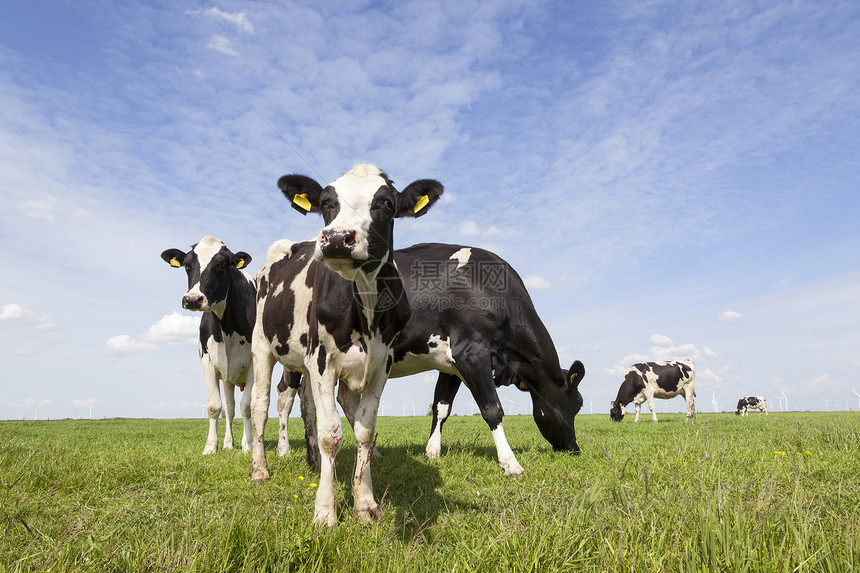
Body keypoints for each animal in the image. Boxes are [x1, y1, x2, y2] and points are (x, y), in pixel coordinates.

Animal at [160, 235, 255, 454]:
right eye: (187, 265)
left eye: (221, 265)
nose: (193, 299)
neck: (227, 327)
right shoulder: (208, 361)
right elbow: (215, 407)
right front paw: (211, 446)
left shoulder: (255, 362)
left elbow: (247, 407)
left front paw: (248, 445)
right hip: (228, 376)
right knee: (229, 408)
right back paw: (228, 443)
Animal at [245, 163, 440, 524]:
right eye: (326, 202)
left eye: (387, 203)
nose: (337, 238)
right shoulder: (323, 361)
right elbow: (329, 434)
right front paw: (325, 511)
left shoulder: (380, 363)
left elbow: (363, 429)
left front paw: (364, 503)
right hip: (262, 347)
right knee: (261, 406)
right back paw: (260, 470)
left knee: (307, 404)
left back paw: (315, 464)